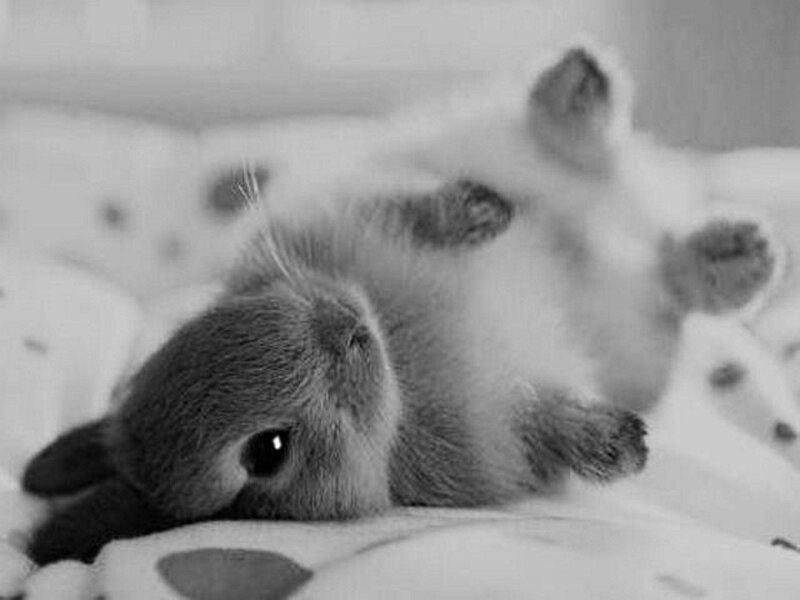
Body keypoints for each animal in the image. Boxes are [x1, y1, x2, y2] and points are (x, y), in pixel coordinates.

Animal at [22, 180, 649, 565]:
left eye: (215, 314)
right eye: (269, 451)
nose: (347, 328)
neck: (398, 358)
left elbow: (415, 217)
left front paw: (481, 207)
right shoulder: (506, 428)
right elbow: (552, 424)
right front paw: (627, 445)